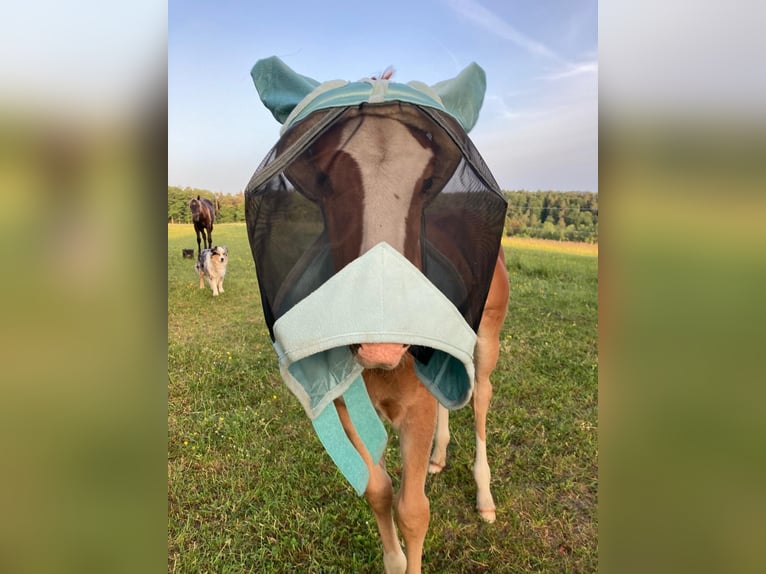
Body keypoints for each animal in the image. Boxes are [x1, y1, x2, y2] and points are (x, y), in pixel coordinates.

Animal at [246, 58, 509, 573]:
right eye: (322, 178)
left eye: (428, 183)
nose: (380, 342)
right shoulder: (344, 401)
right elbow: (377, 491)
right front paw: (394, 559)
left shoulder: (416, 409)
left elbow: (413, 510)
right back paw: (439, 457)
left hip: (486, 342)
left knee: (482, 400)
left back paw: (485, 495)